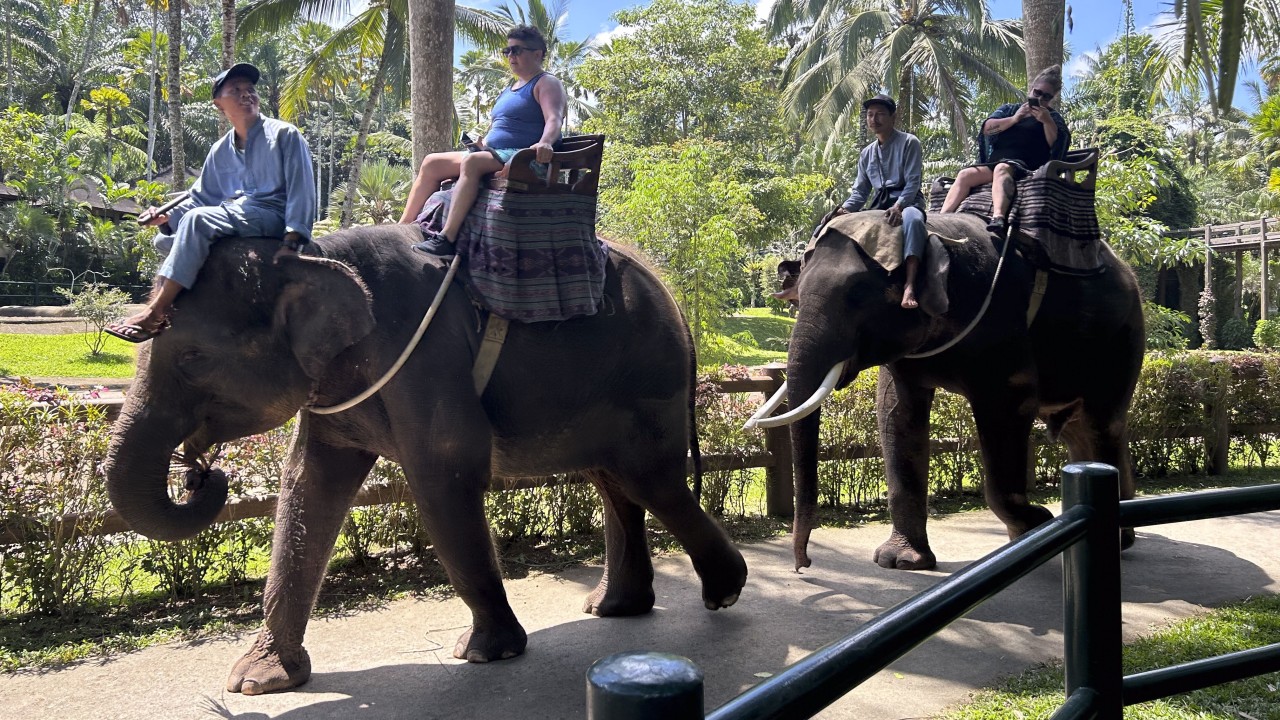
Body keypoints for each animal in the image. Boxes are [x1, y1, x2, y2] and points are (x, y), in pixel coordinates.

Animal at [103, 225, 747, 694]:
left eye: (192, 358)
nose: (203, 474)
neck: (314, 255)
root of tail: (673, 295)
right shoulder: (334, 390)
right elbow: (307, 487)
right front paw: (257, 681)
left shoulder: (426, 359)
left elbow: (442, 475)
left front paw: (485, 654)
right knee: (613, 480)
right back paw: (616, 609)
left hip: (649, 377)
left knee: (649, 479)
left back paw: (724, 592)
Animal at [756, 212, 1143, 571]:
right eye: (797, 298)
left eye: (858, 296)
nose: (803, 564)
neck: (935, 234)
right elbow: (895, 412)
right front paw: (901, 562)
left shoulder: (1003, 331)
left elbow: (1009, 408)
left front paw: (1038, 525)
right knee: (1081, 430)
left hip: (1122, 338)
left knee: (1101, 423)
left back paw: (1114, 535)